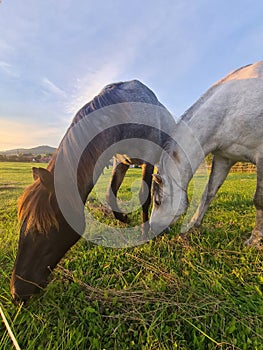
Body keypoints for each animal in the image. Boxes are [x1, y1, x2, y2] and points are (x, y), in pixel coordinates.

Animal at [10, 78, 175, 300]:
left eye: (44, 229)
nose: (17, 292)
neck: (124, 111)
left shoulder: (147, 160)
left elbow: (144, 196)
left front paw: (144, 232)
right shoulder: (120, 161)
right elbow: (110, 194)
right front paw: (124, 218)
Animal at [151, 60, 263, 249]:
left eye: (158, 201)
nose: (149, 230)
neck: (230, 108)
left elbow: (259, 199)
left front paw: (254, 241)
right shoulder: (224, 158)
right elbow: (208, 193)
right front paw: (192, 226)